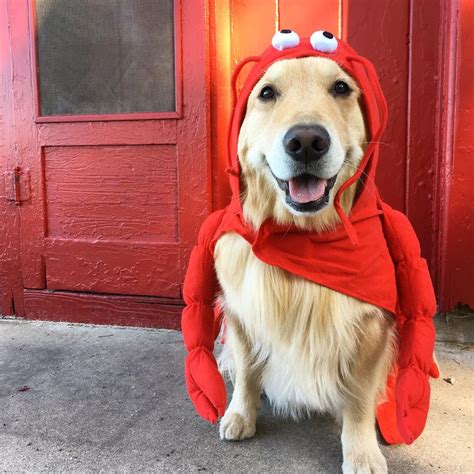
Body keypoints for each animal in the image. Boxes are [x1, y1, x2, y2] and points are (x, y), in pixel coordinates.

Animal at [213, 57, 394, 472]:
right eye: (266, 93)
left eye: (341, 88)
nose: (307, 142)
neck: (302, 238)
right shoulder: (240, 312)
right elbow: (247, 371)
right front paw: (240, 415)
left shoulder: (372, 326)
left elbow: (359, 396)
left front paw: (362, 452)